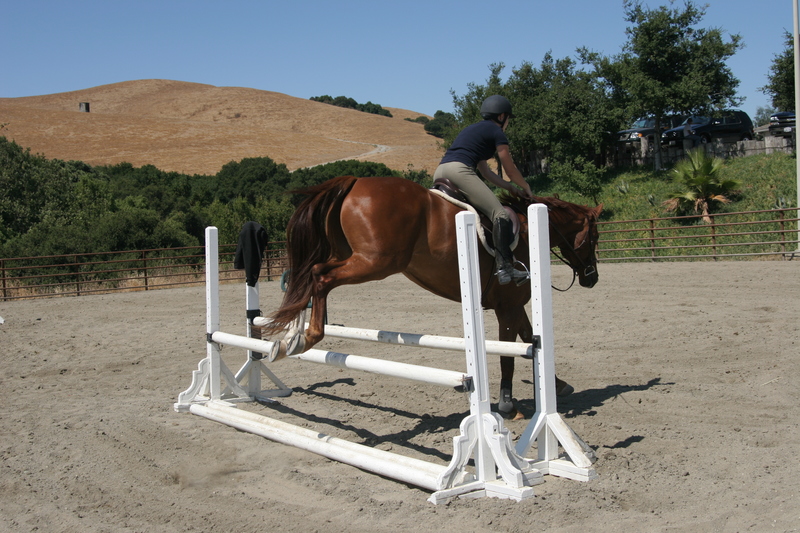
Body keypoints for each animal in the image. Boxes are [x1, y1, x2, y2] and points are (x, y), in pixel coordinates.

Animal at [262, 175, 602, 419]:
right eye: (595, 237)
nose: (592, 278)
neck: (531, 229)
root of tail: (355, 181)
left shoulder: (513, 306)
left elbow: (530, 339)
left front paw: (557, 384)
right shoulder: (508, 306)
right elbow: (508, 353)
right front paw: (508, 405)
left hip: (354, 256)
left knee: (309, 275)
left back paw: (290, 339)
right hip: (376, 262)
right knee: (319, 276)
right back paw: (307, 337)